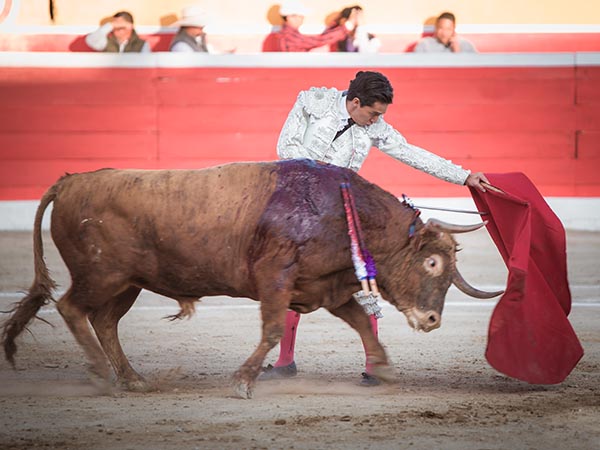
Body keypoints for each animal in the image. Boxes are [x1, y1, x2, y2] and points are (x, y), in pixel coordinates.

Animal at [1, 160, 502, 400]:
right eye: (432, 264)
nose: (433, 320)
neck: (339, 209)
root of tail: (70, 182)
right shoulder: (274, 279)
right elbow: (273, 329)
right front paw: (243, 381)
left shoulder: (326, 285)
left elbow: (360, 322)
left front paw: (381, 368)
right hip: (102, 275)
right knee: (72, 308)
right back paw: (103, 376)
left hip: (129, 282)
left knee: (105, 322)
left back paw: (133, 379)